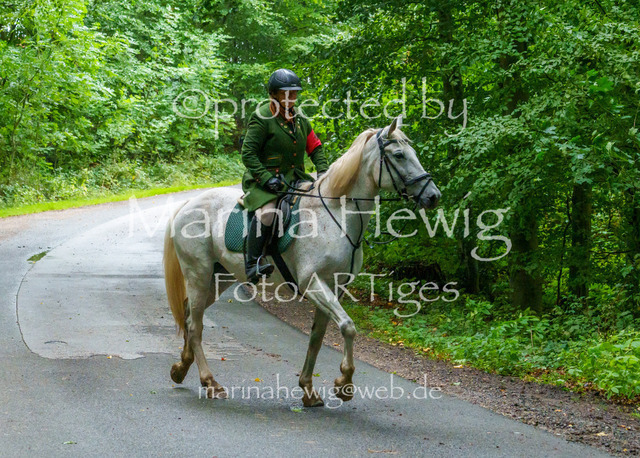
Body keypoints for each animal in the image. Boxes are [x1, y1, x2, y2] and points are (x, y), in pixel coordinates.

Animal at [162, 115, 441, 406]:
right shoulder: (313, 282)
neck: (336, 215)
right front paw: (344, 383)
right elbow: (348, 327)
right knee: (195, 326)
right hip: (198, 274)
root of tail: (186, 205)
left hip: (219, 278)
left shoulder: (335, 287)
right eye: (399, 155)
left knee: (189, 317)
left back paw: (181, 368)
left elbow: (317, 337)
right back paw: (210, 382)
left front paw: (308, 388)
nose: (433, 196)